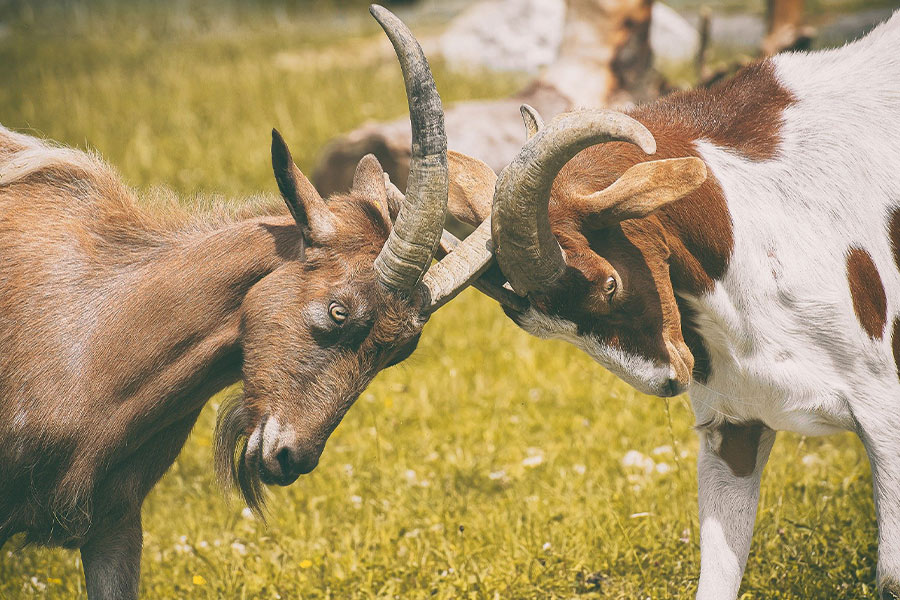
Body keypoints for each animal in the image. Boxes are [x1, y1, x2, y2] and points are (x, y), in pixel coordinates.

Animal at [447, 10, 900, 598]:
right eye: (542, 326)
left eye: (609, 284)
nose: (666, 381)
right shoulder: (733, 424)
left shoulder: (885, 411)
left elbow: (890, 575)